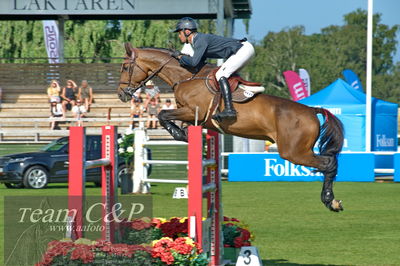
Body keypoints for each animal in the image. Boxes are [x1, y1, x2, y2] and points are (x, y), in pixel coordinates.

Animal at [117, 42, 346, 212]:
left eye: (126, 67)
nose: (122, 94)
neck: (186, 77)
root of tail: (311, 111)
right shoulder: (189, 114)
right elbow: (168, 117)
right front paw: (184, 134)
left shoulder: (192, 111)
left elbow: (163, 114)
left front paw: (180, 134)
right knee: (329, 163)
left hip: (293, 151)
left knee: (328, 163)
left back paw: (330, 200)